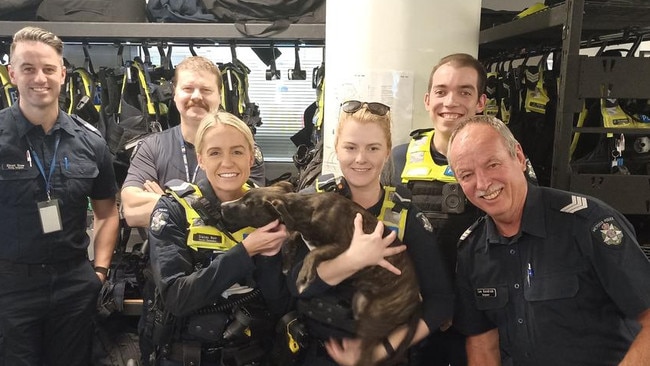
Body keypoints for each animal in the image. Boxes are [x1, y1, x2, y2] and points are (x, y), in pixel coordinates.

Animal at [220, 182, 418, 366]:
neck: (307, 210)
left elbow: (313, 253)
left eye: (247, 204)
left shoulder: (345, 245)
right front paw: (287, 262)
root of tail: (416, 301)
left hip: (373, 319)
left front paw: (304, 277)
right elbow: (293, 237)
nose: (222, 206)